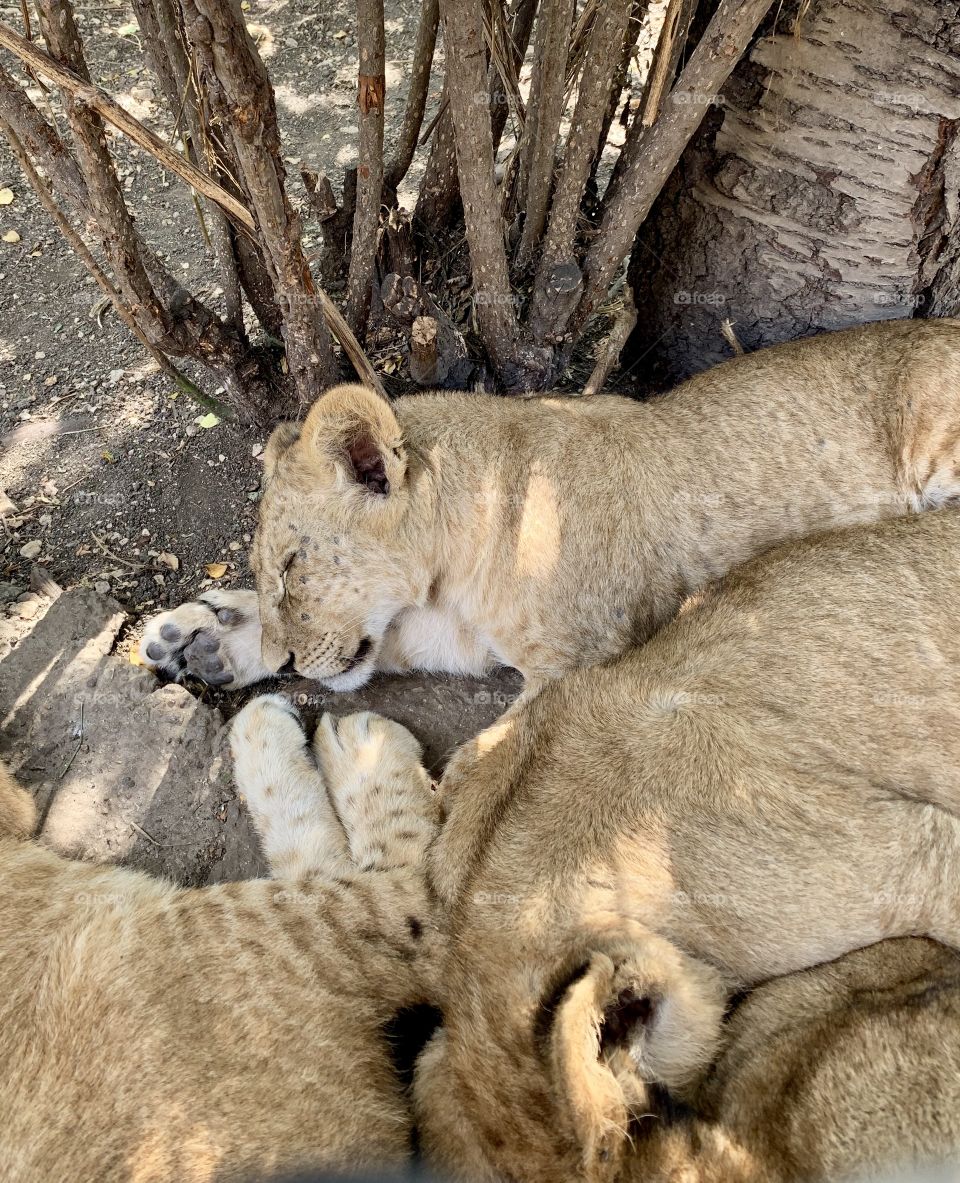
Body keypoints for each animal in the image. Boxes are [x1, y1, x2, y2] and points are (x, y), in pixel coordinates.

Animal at [140, 319, 960, 692]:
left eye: (292, 564)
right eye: (269, 568)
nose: (289, 662)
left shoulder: (578, 661)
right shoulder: (457, 638)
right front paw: (208, 639)